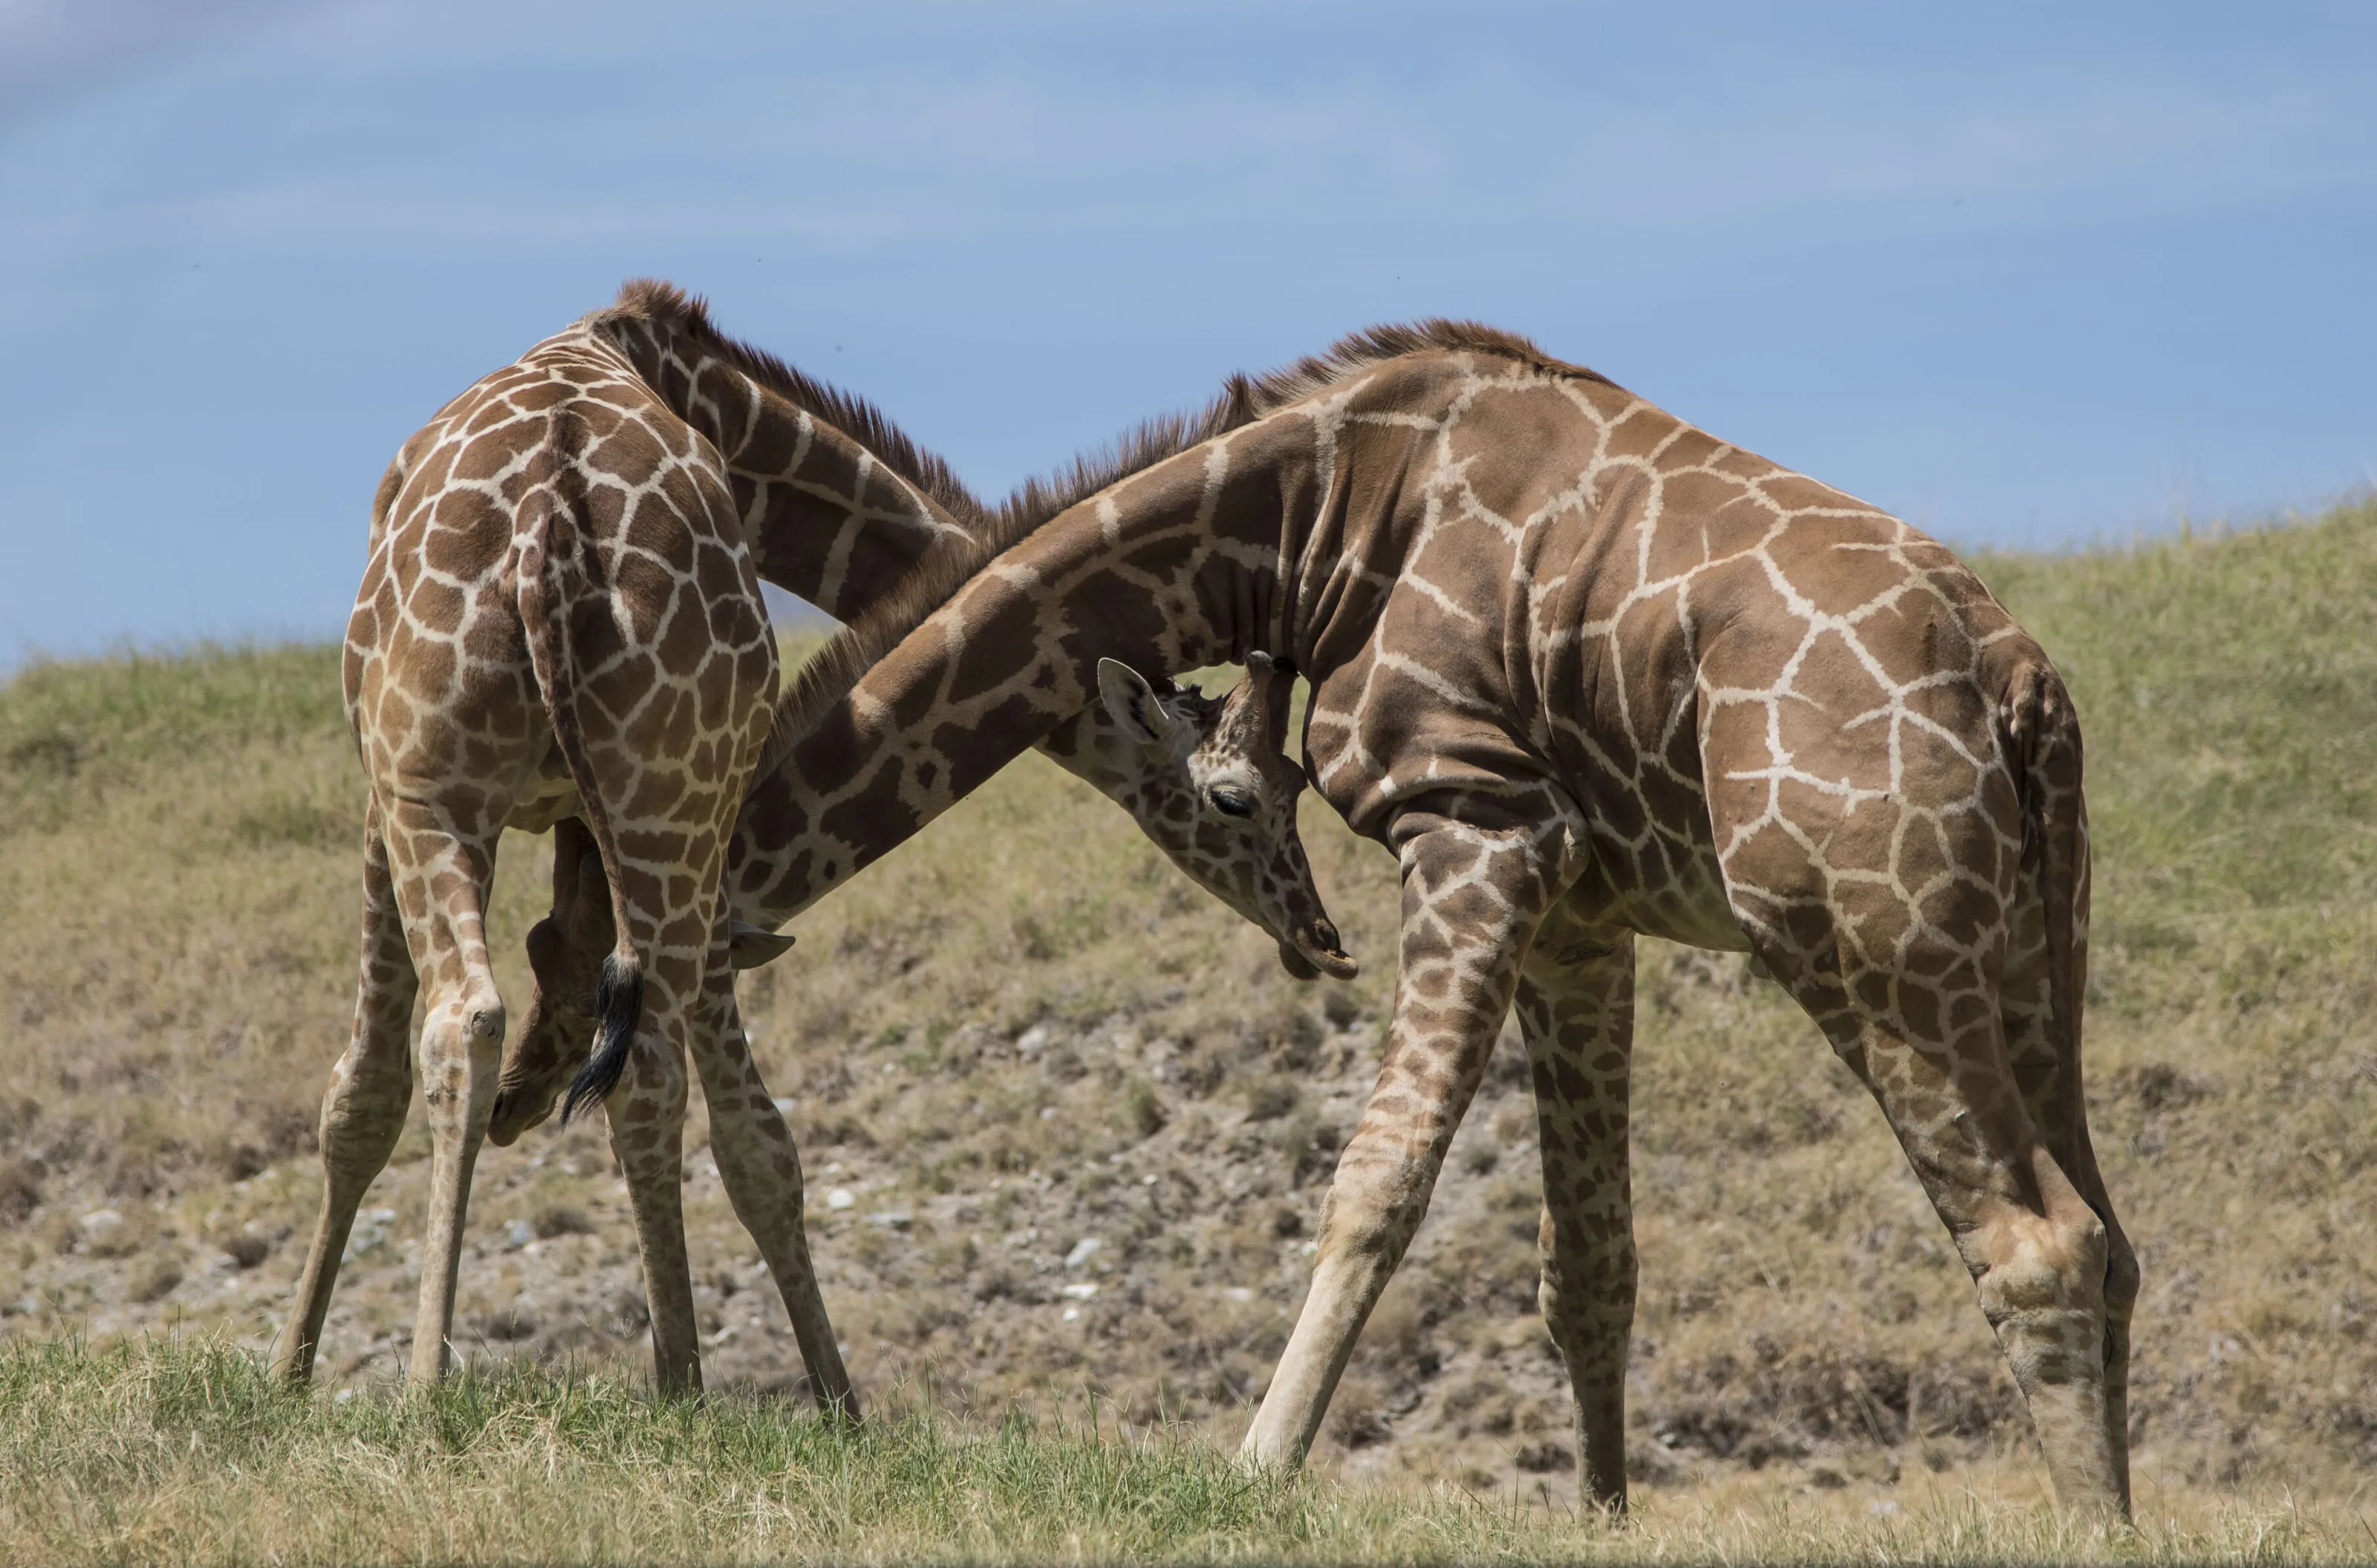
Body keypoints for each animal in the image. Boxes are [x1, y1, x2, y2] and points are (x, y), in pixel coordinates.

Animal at [275, 283, 1354, 1403]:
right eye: (1243, 798)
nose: (1321, 937)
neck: (728, 417)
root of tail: (547, 529)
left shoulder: (454, 801)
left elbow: (373, 1085)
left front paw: (290, 1366)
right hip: (582, 794)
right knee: (595, 1056)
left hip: (495, 793)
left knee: (508, 1034)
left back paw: (496, 1380)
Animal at [511, 321, 2134, 1517]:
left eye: (568, 966)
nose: (536, 1084)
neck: (1308, 522)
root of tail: (2018, 684)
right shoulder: (1582, 909)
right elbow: (1589, 1266)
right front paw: (1600, 1517)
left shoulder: (1478, 825)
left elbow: (1373, 1185)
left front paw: (1252, 1473)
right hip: (2027, 949)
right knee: (2108, 1242)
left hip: (1861, 937)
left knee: (2036, 1243)